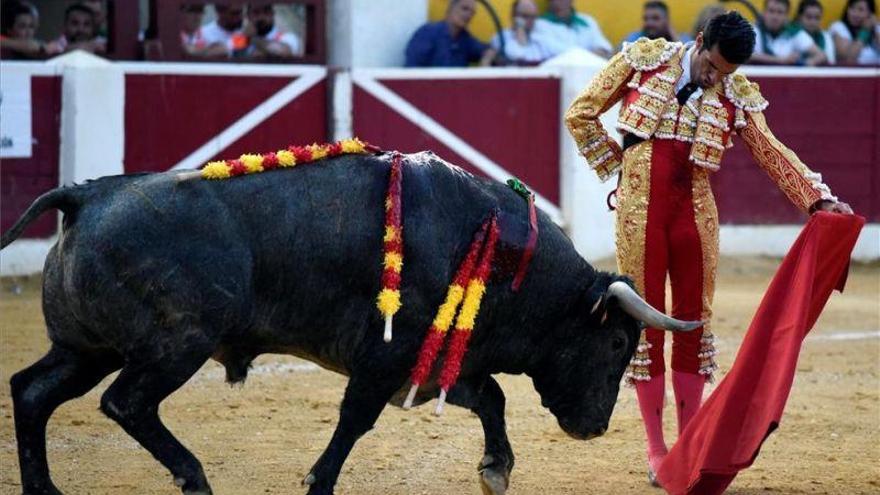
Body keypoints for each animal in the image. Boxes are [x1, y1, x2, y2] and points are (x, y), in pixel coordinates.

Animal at [3, 152, 696, 495]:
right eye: (616, 340)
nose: (595, 428)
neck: (499, 252)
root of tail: (86, 194)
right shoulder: (385, 359)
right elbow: (355, 420)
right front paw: (318, 481)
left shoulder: (430, 364)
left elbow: (490, 397)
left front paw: (496, 469)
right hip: (175, 346)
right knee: (126, 404)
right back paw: (194, 479)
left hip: (87, 348)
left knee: (31, 392)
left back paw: (47, 490)